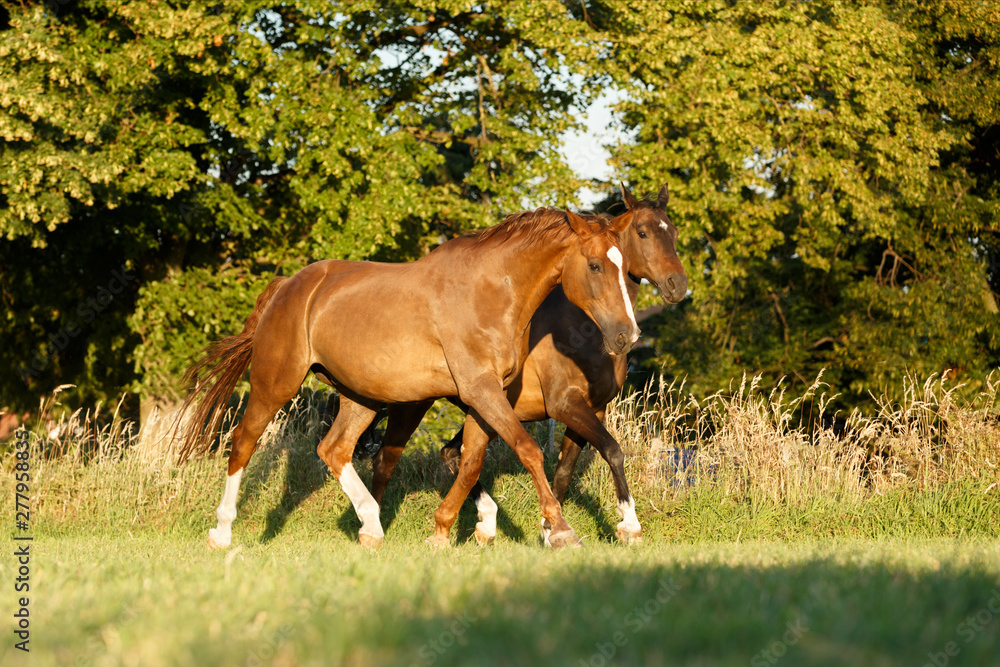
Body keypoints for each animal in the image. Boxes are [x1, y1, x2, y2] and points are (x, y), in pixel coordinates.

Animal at [176, 207, 640, 550]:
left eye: (625, 268)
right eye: (595, 265)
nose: (627, 334)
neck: (492, 291)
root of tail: (288, 285)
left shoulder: (486, 397)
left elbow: (470, 462)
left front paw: (443, 532)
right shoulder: (482, 391)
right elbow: (526, 451)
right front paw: (560, 531)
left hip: (360, 397)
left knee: (334, 449)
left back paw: (371, 526)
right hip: (275, 383)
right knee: (243, 443)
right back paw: (222, 533)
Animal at [363, 184, 686, 545]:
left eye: (673, 232)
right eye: (643, 232)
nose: (677, 284)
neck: (581, 328)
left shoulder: (591, 409)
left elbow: (564, 470)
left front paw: (550, 530)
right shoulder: (566, 404)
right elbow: (612, 450)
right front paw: (628, 526)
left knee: (453, 453)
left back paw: (486, 523)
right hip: (413, 405)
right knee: (386, 461)